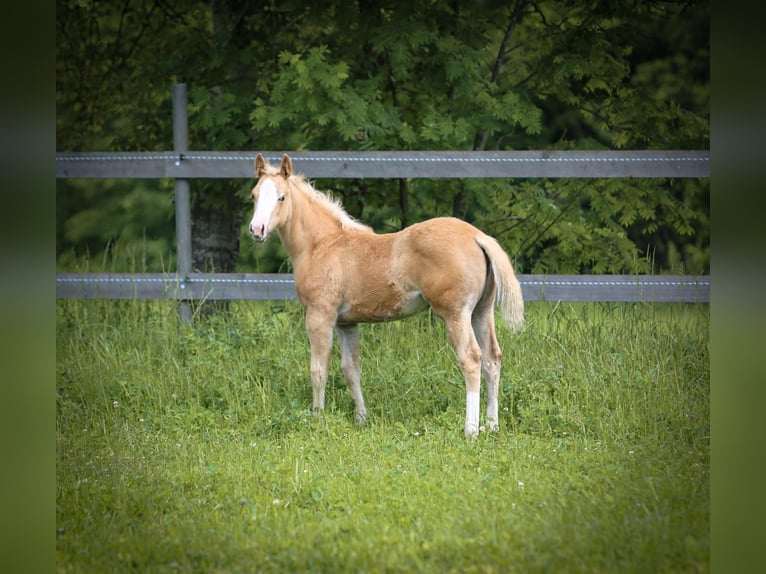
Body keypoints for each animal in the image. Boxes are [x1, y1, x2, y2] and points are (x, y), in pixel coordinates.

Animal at [249, 155, 524, 438]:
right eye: (254, 195)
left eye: (281, 197)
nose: (257, 230)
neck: (323, 245)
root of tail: (477, 236)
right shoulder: (347, 323)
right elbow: (351, 370)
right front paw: (361, 419)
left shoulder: (319, 317)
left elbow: (318, 370)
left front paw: (318, 420)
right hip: (482, 311)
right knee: (492, 359)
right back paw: (492, 425)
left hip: (455, 314)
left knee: (471, 358)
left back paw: (470, 430)